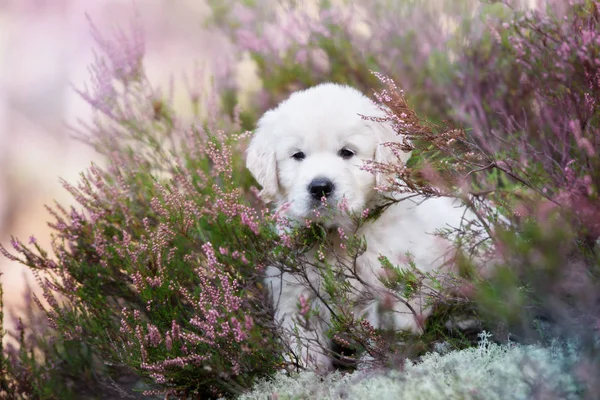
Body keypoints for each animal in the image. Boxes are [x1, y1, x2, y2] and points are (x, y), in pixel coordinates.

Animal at [246, 83, 472, 372]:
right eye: (298, 155)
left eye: (347, 152)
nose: (320, 187)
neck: (338, 237)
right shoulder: (295, 299)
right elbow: (303, 352)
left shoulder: (393, 298)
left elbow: (383, 341)